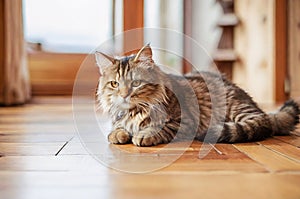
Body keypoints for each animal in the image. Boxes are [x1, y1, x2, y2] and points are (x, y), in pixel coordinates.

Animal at [96, 44, 300, 147]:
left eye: (136, 83)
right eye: (115, 84)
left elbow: (159, 129)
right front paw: (118, 133)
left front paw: (143, 135)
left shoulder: (183, 122)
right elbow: (117, 128)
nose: (124, 95)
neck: (134, 111)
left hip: (237, 108)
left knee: (261, 123)